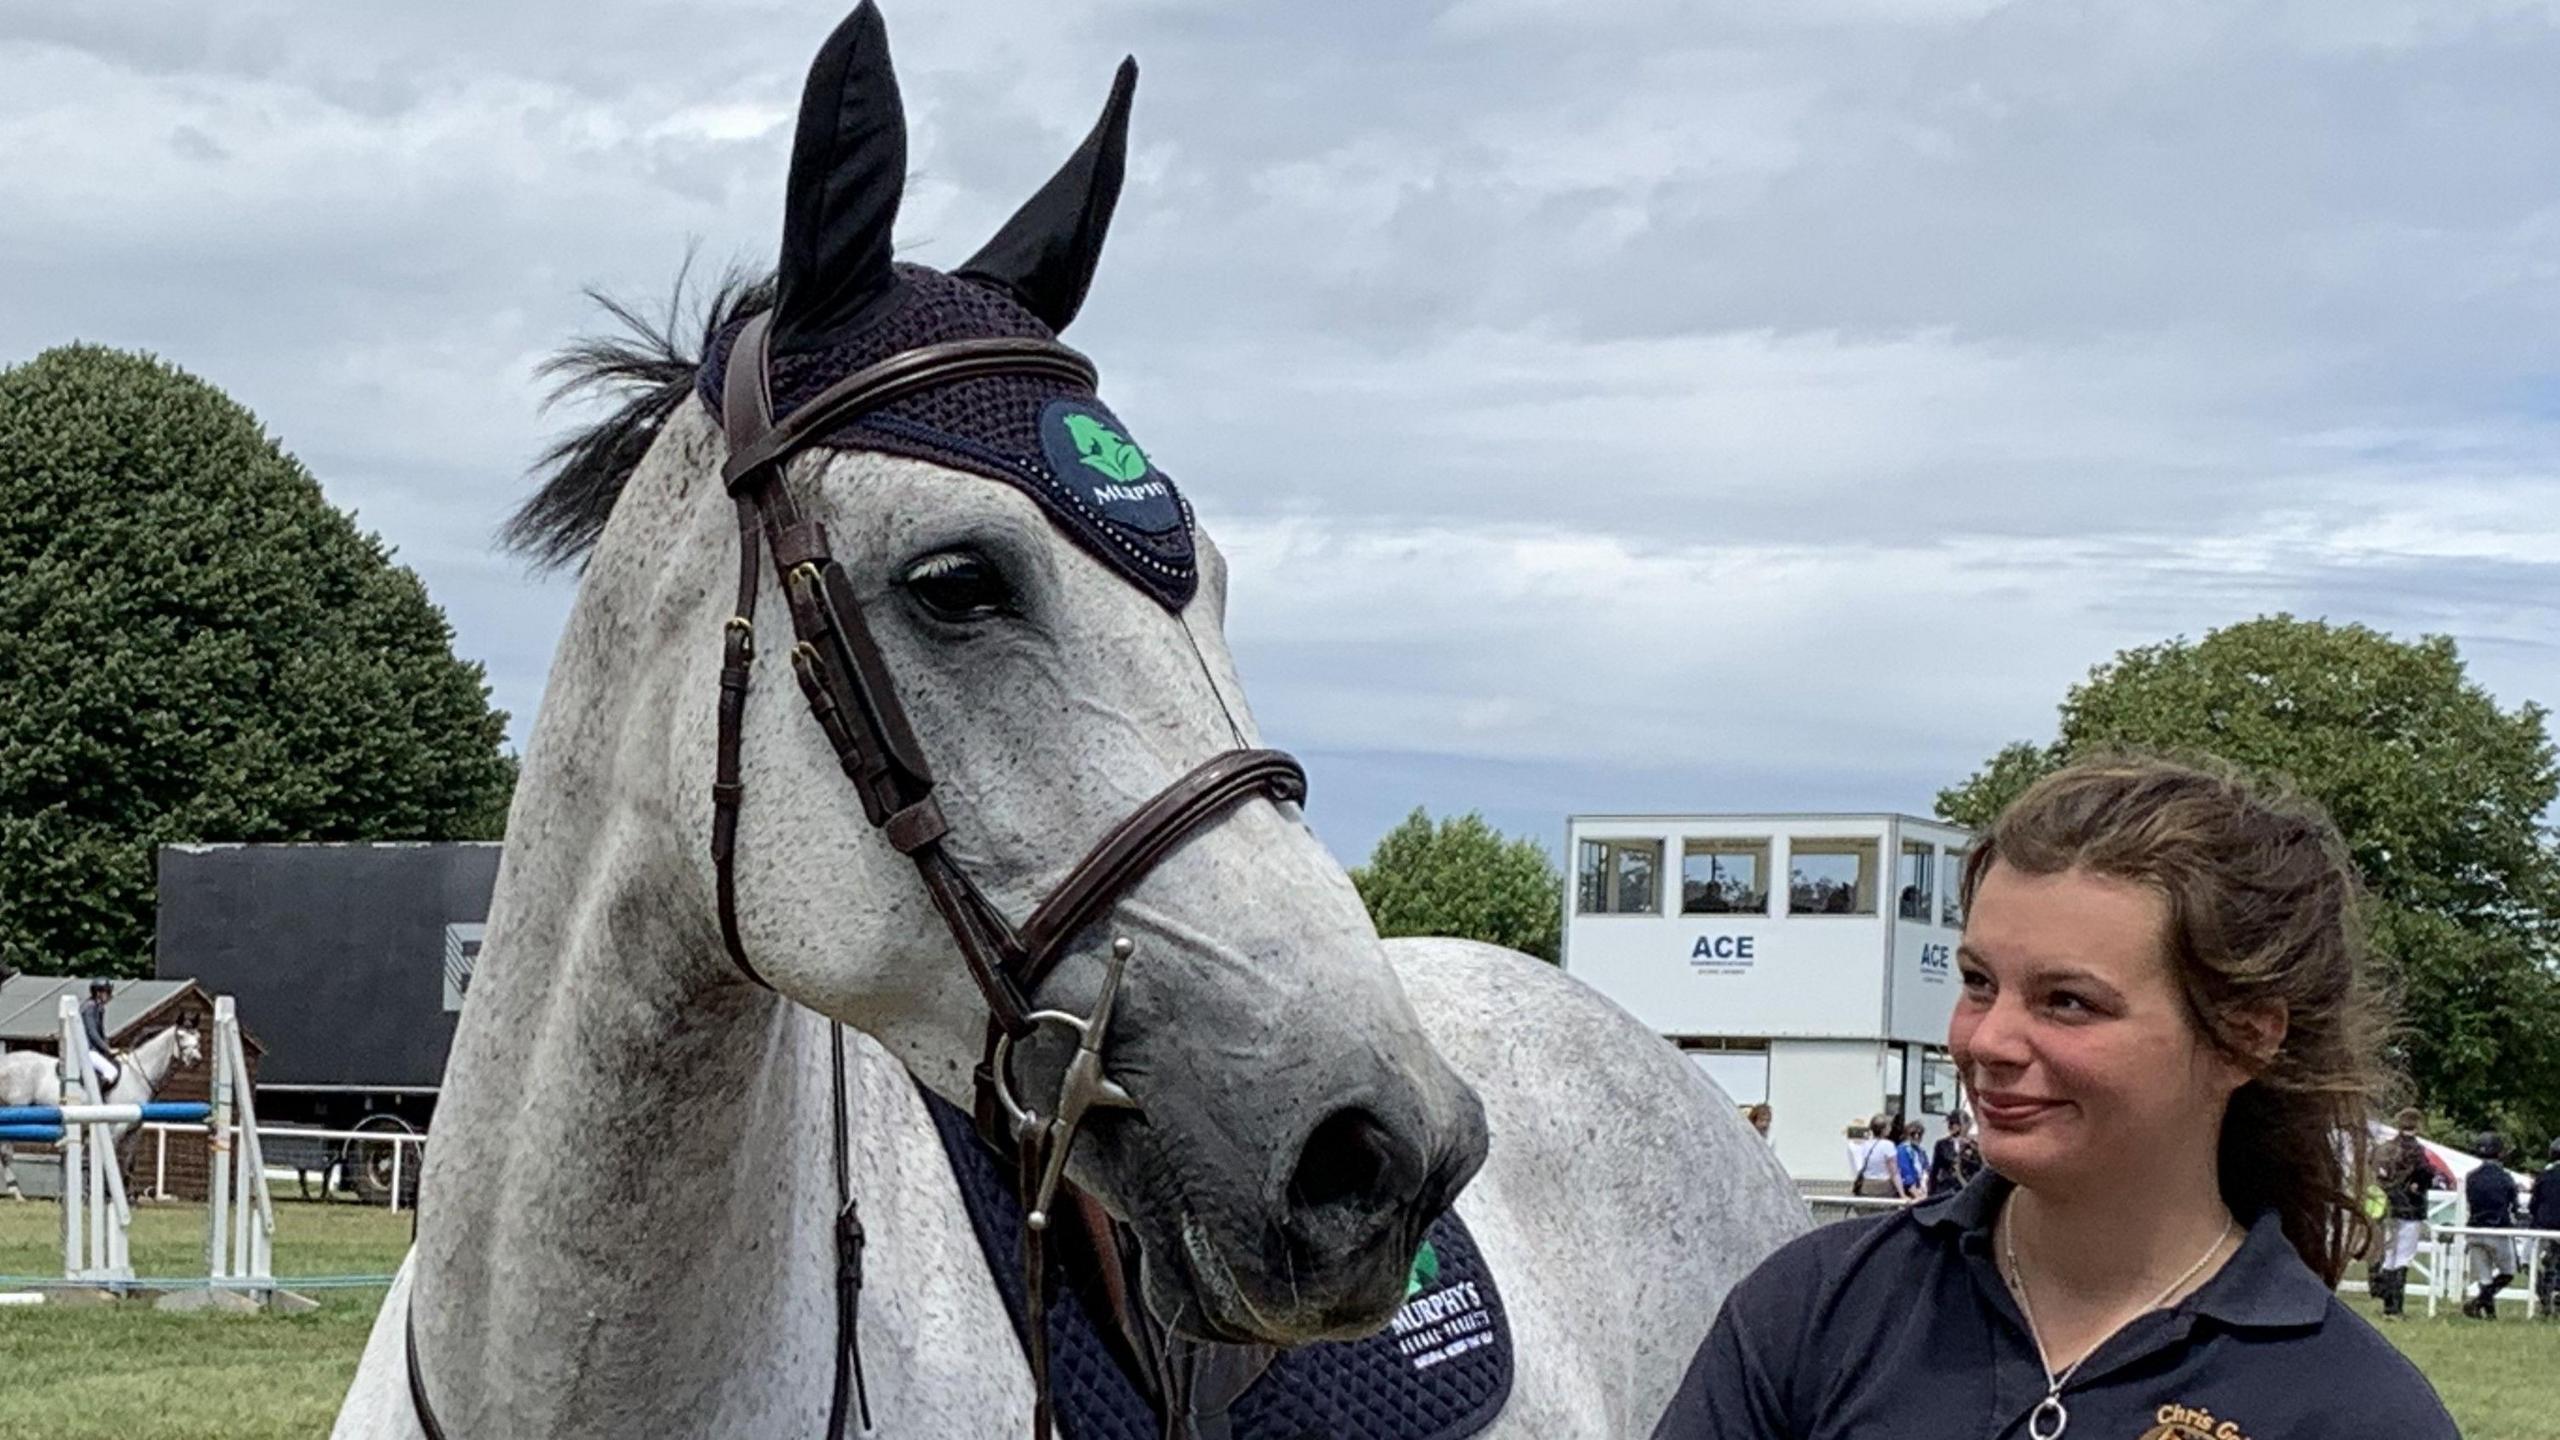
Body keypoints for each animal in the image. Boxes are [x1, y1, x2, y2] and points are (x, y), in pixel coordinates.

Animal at [0, 1019, 204, 1199]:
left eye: (198, 1037)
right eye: (181, 1036)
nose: (196, 1060)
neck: (137, 1075)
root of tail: (6, 1062)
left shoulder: (134, 1130)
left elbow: (129, 1163)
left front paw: (128, 1197)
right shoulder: (116, 1128)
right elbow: (109, 1160)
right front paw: (105, 1194)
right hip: (16, 1111)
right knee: (6, 1151)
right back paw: (16, 1191)